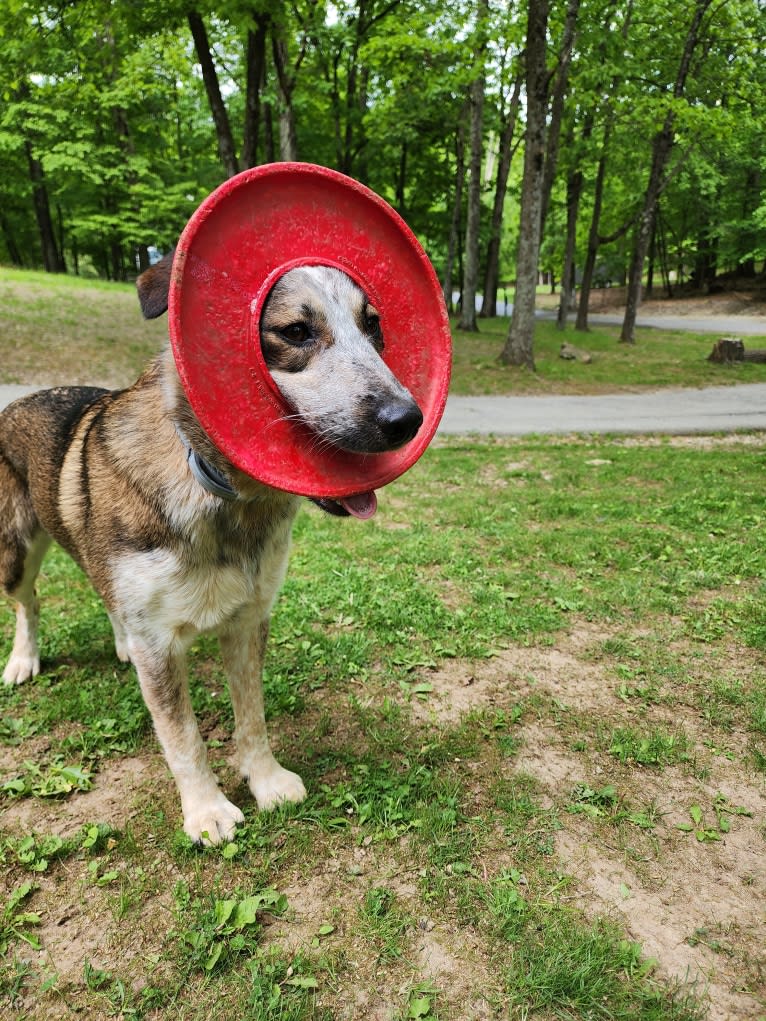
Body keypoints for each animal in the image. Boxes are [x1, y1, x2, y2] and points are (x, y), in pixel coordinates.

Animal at [0, 257, 422, 845]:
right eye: (296, 331)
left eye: (373, 326)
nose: (407, 419)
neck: (223, 495)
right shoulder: (159, 645)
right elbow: (183, 737)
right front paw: (206, 811)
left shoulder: (248, 619)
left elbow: (253, 715)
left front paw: (266, 780)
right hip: (15, 554)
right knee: (30, 601)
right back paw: (23, 659)